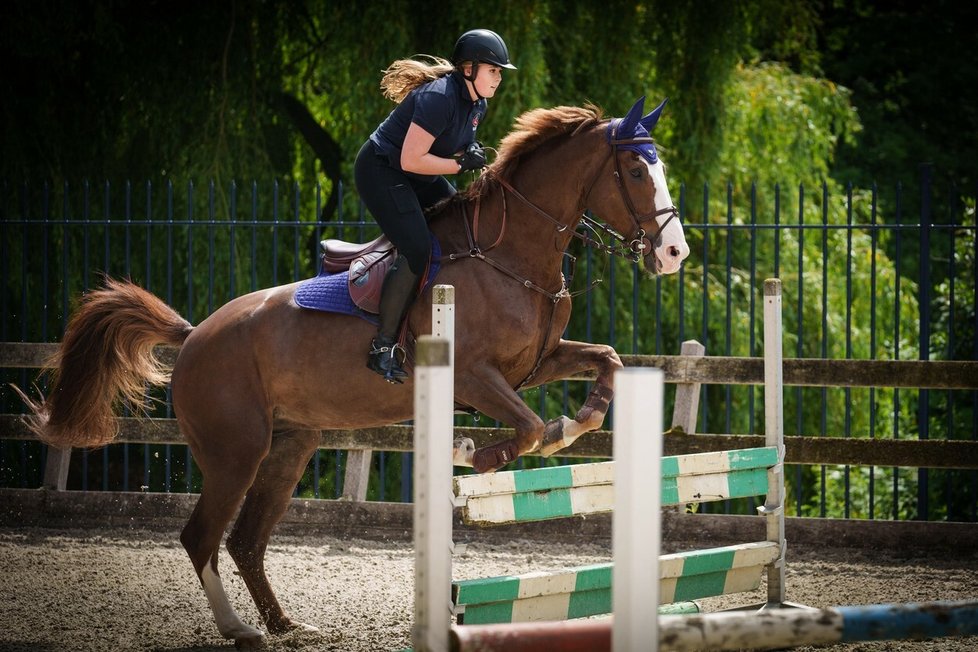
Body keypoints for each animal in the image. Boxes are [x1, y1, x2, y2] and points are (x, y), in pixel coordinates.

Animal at [15, 97, 688, 648]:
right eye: (635, 171)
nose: (674, 252)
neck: (510, 254)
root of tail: (195, 335)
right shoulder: (475, 376)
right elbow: (527, 429)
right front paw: (474, 453)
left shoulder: (536, 363)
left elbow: (605, 361)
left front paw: (582, 419)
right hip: (237, 452)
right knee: (201, 537)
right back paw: (240, 630)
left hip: (290, 446)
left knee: (246, 540)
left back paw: (287, 626)